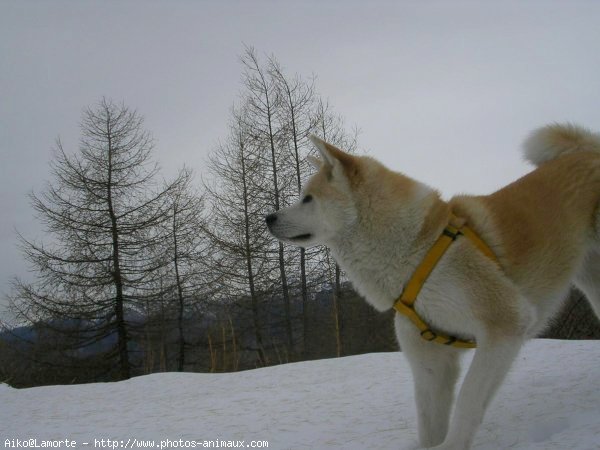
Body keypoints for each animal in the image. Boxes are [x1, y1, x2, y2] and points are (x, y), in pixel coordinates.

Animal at [268, 123, 600, 450]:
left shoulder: (505, 324)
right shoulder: (430, 362)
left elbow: (468, 400)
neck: (416, 250)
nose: (268, 217)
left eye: (308, 198)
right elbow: (429, 425)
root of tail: (588, 151)